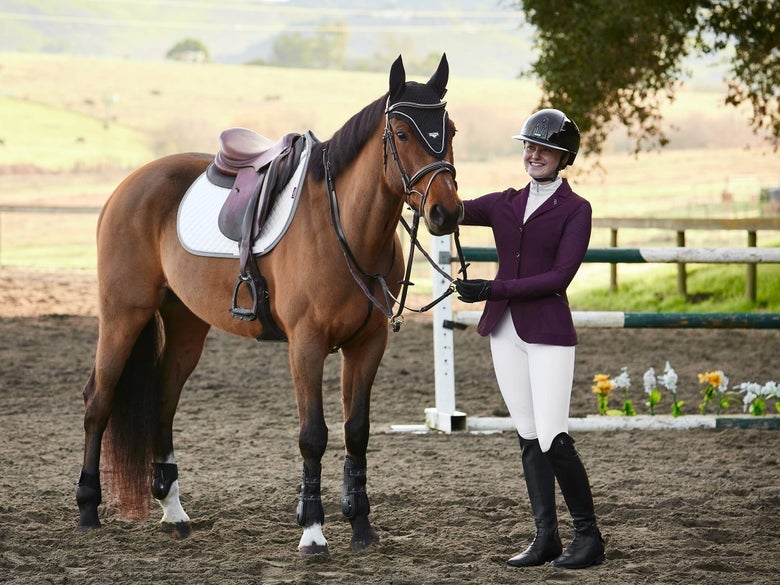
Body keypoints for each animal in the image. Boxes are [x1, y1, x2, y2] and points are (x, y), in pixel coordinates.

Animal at [75, 54, 463, 555]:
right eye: (401, 133)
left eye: (449, 130)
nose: (446, 212)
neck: (346, 227)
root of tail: (127, 186)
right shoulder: (306, 345)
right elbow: (313, 435)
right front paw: (312, 530)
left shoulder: (367, 344)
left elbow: (356, 432)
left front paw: (361, 526)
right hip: (124, 313)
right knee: (99, 400)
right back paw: (88, 509)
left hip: (185, 326)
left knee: (163, 397)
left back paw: (173, 511)